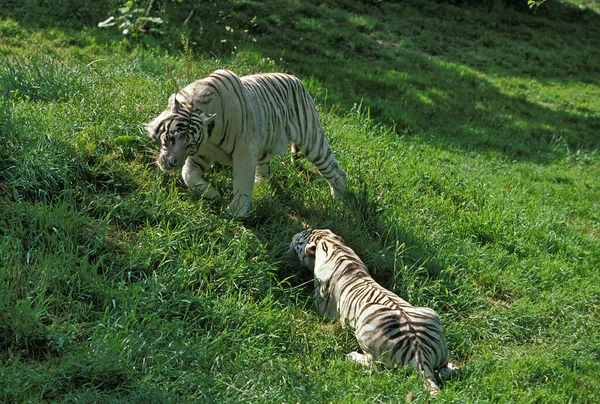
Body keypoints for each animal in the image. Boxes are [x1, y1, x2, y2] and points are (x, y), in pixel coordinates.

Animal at [144, 68, 346, 218]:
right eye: (172, 138)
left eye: (188, 144)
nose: (172, 163)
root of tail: (298, 80)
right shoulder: (203, 151)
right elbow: (188, 175)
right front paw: (212, 193)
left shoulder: (244, 151)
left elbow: (242, 182)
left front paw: (236, 213)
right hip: (267, 144)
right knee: (264, 171)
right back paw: (260, 186)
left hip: (313, 142)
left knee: (336, 172)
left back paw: (338, 203)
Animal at [290, 229, 460, 396]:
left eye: (299, 241)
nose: (292, 237)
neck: (334, 247)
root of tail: (420, 353)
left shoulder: (321, 302)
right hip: (432, 316)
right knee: (445, 370)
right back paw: (453, 367)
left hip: (366, 325)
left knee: (374, 366)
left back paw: (352, 356)